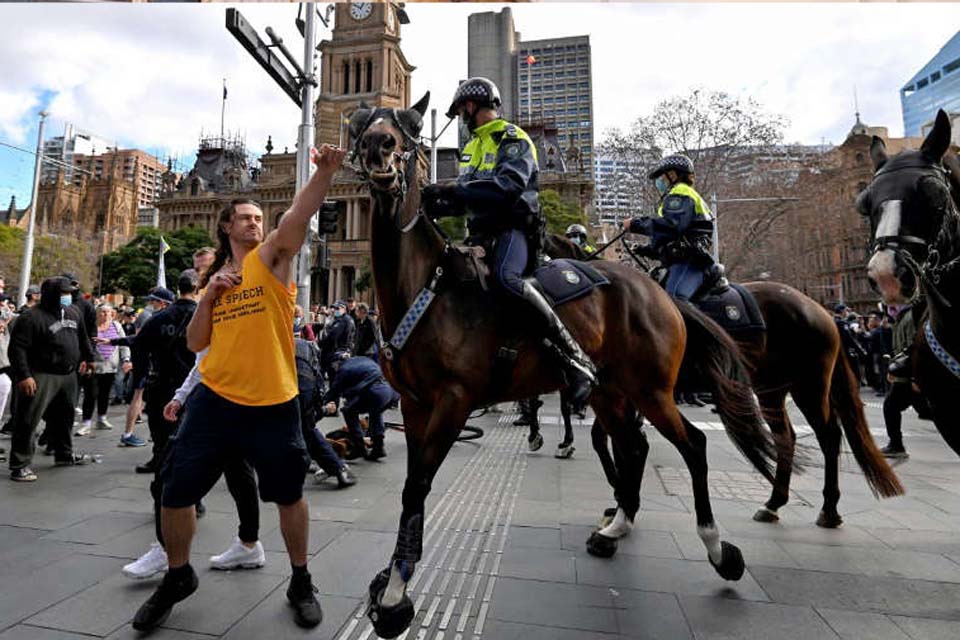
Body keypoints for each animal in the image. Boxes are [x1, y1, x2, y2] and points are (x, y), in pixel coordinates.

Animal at [352, 96, 780, 640]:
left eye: (406, 127)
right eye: (361, 125)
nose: (378, 148)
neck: (427, 286)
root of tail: (661, 293)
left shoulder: (453, 401)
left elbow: (417, 486)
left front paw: (393, 595)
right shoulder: (412, 405)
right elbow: (412, 488)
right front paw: (394, 577)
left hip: (652, 391)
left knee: (693, 445)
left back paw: (718, 549)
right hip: (610, 391)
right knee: (633, 445)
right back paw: (616, 526)